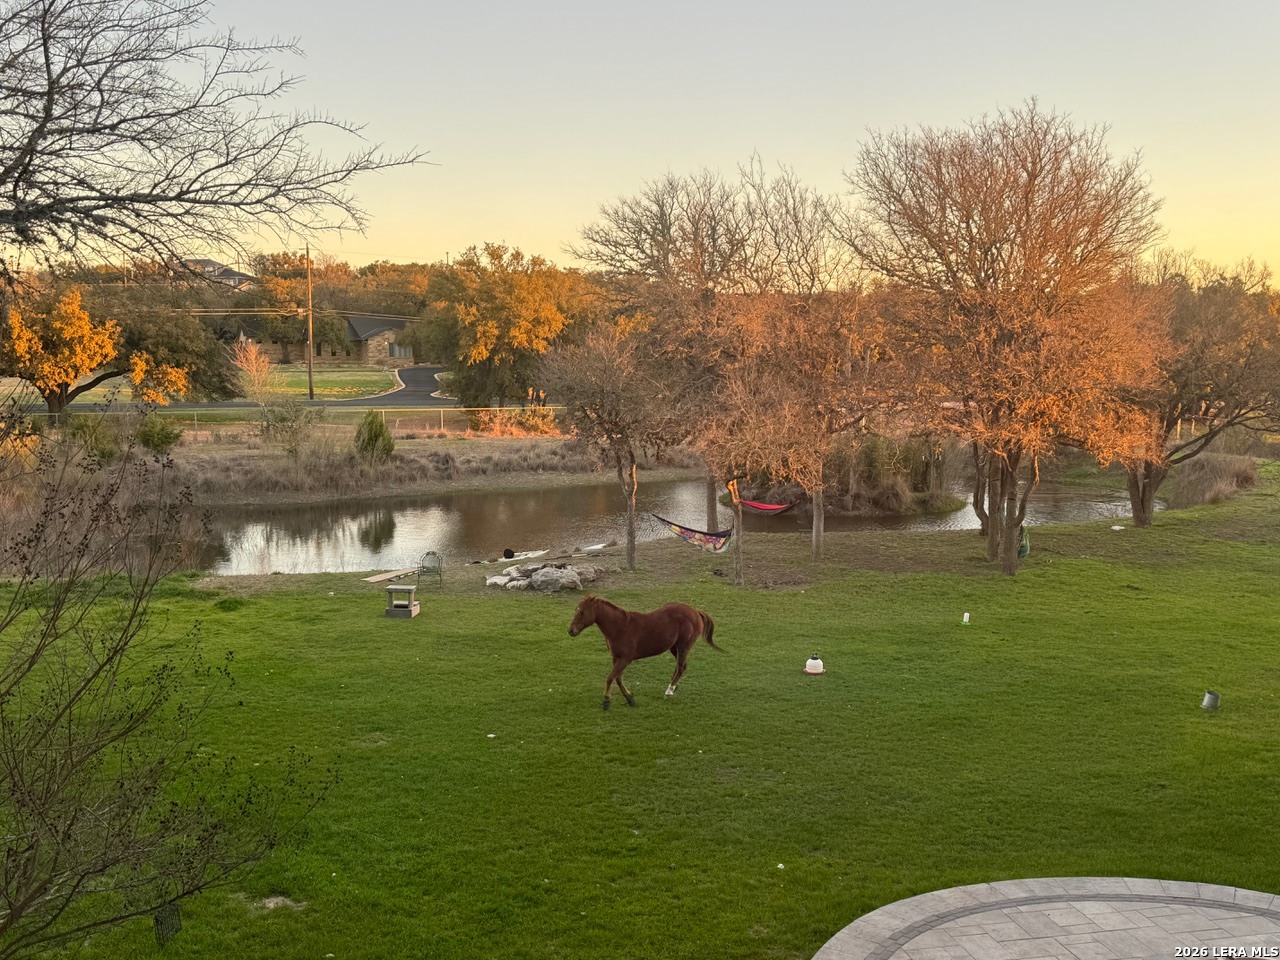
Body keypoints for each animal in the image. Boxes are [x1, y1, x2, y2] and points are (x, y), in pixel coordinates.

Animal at [568, 595, 722, 710]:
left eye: (582, 612)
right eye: (576, 609)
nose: (570, 631)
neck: (619, 627)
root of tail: (696, 611)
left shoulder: (625, 659)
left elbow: (610, 678)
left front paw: (606, 701)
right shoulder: (616, 658)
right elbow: (618, 678)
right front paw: (630, 698)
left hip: (683, 646)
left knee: (680, 667)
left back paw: (669, 690)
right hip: (674, 648)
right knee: (681, 666)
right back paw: (672, 687)